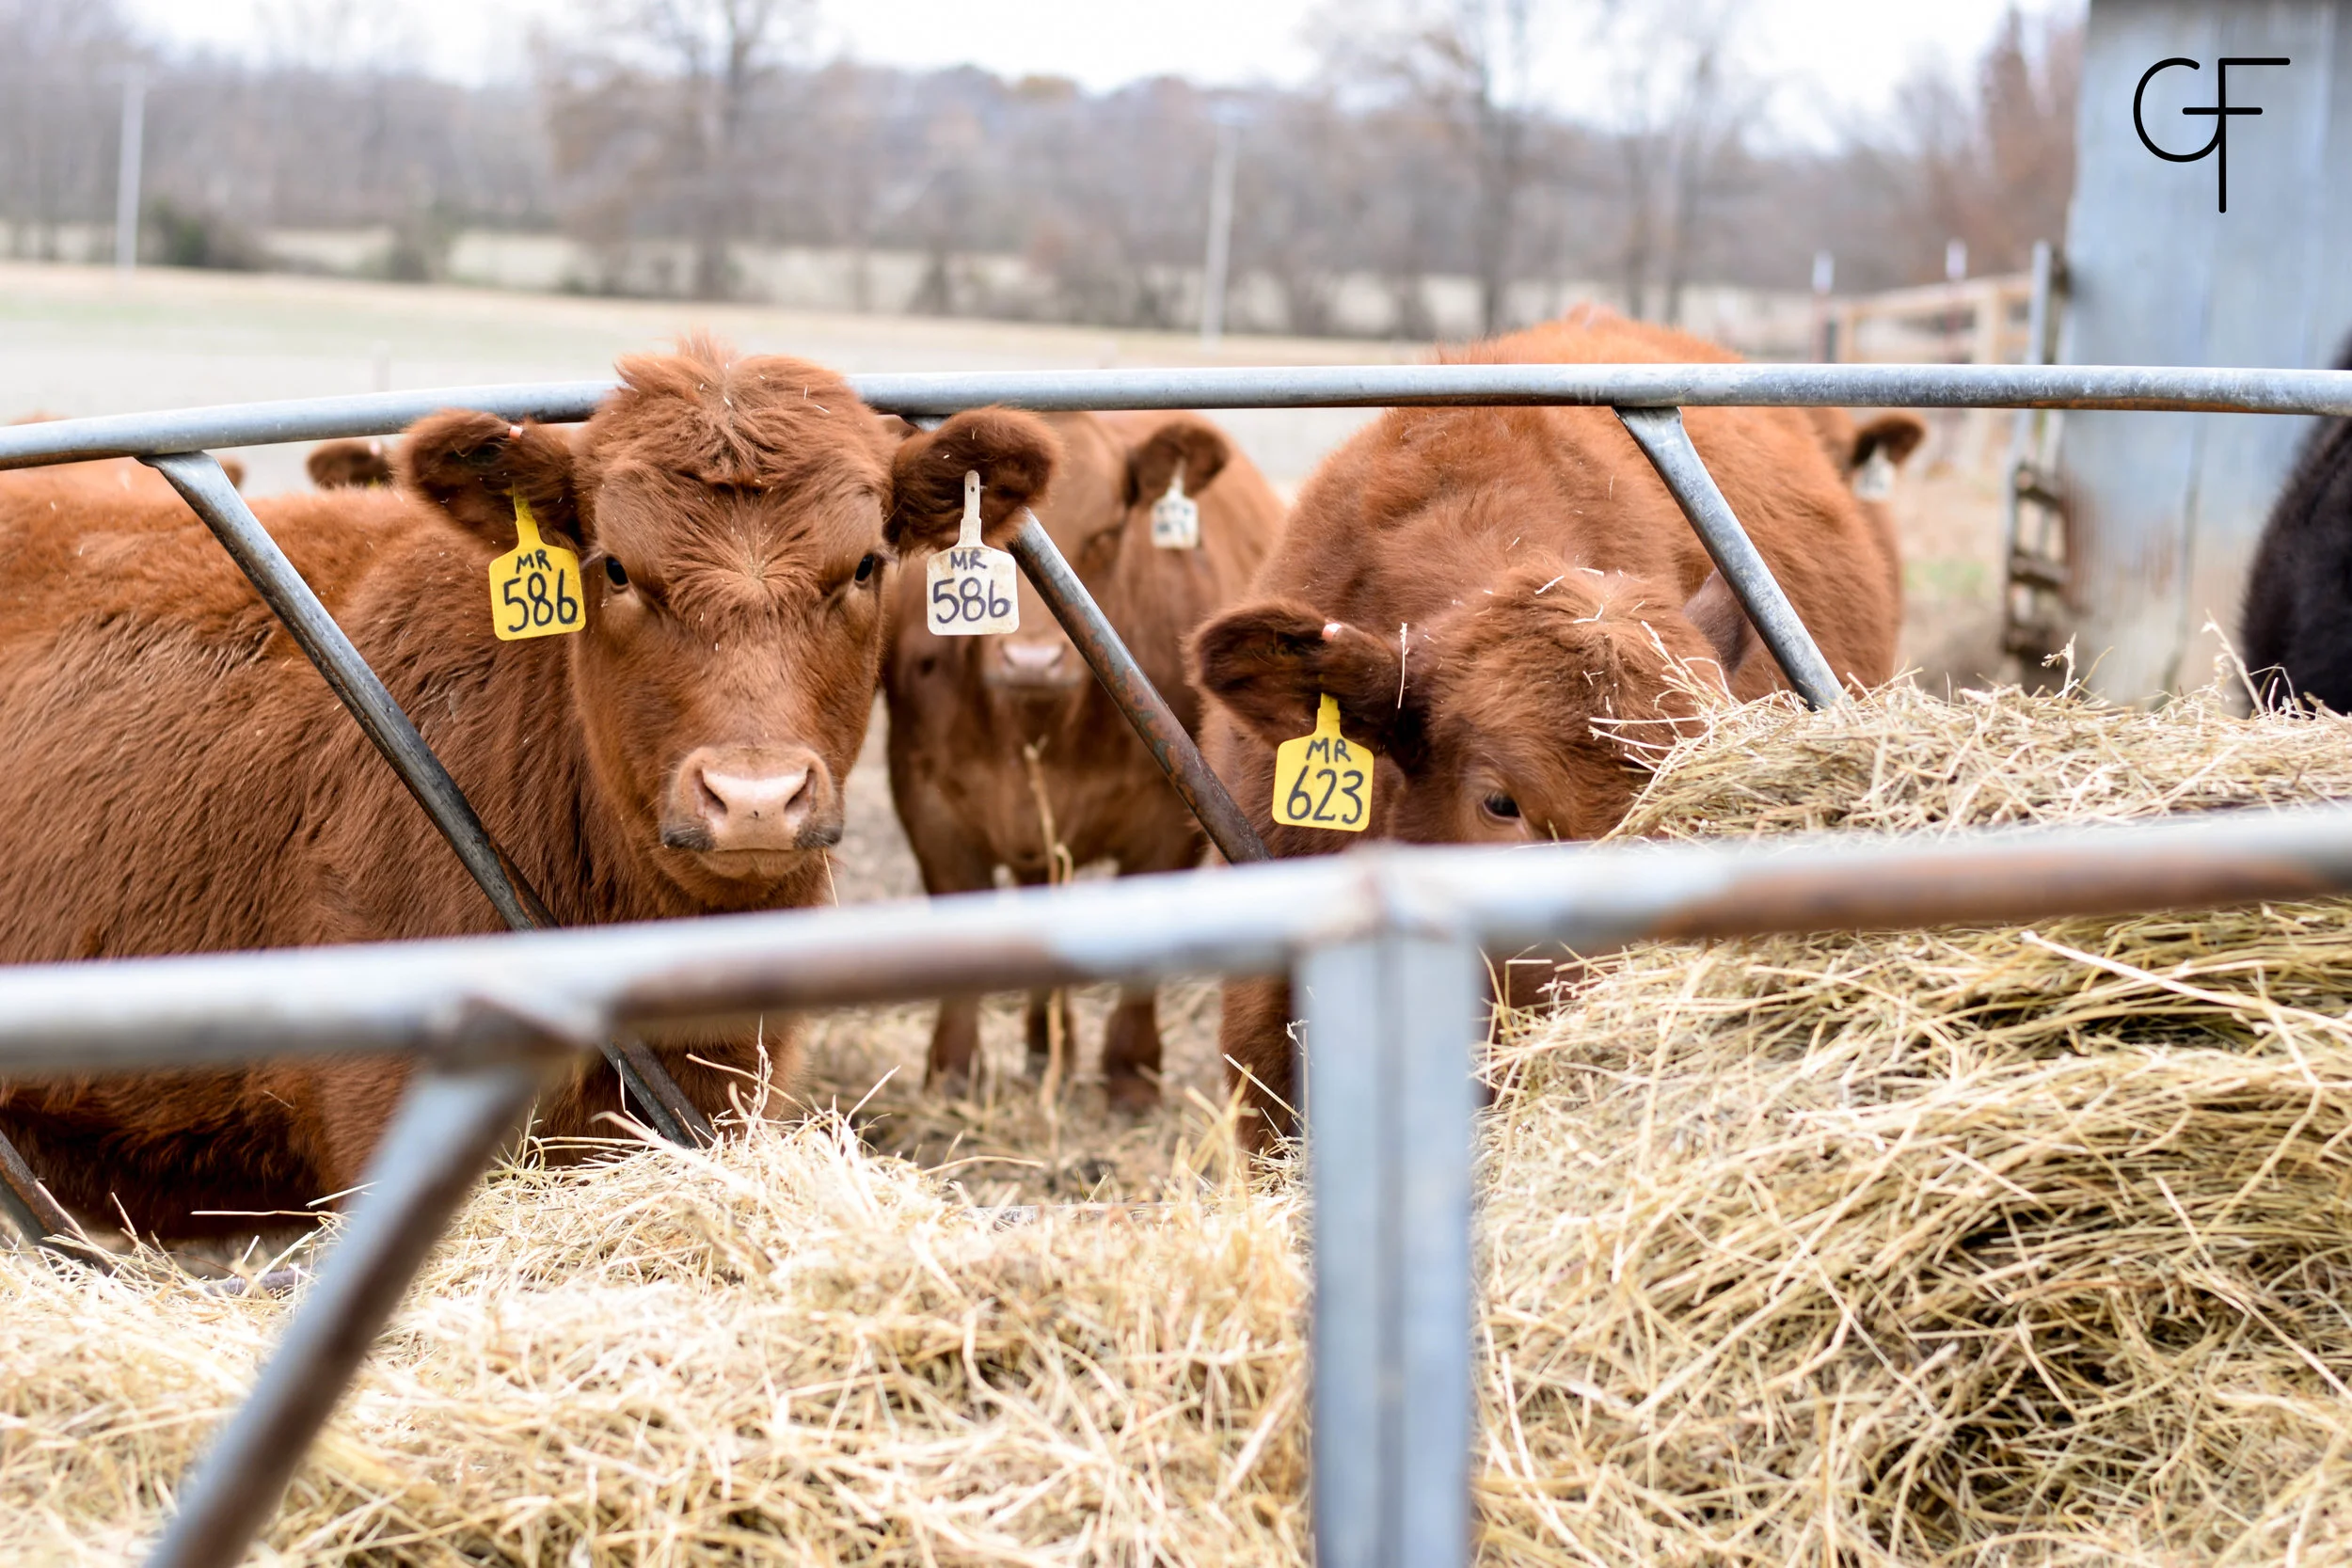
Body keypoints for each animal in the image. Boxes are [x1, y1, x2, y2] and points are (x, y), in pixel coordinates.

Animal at [883, 410, 1283, 1108]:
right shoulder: (926, 798)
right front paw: (953, 1070)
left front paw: (1130, 1071)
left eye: (1107, 534)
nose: (1032, 662)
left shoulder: (1173, 809)